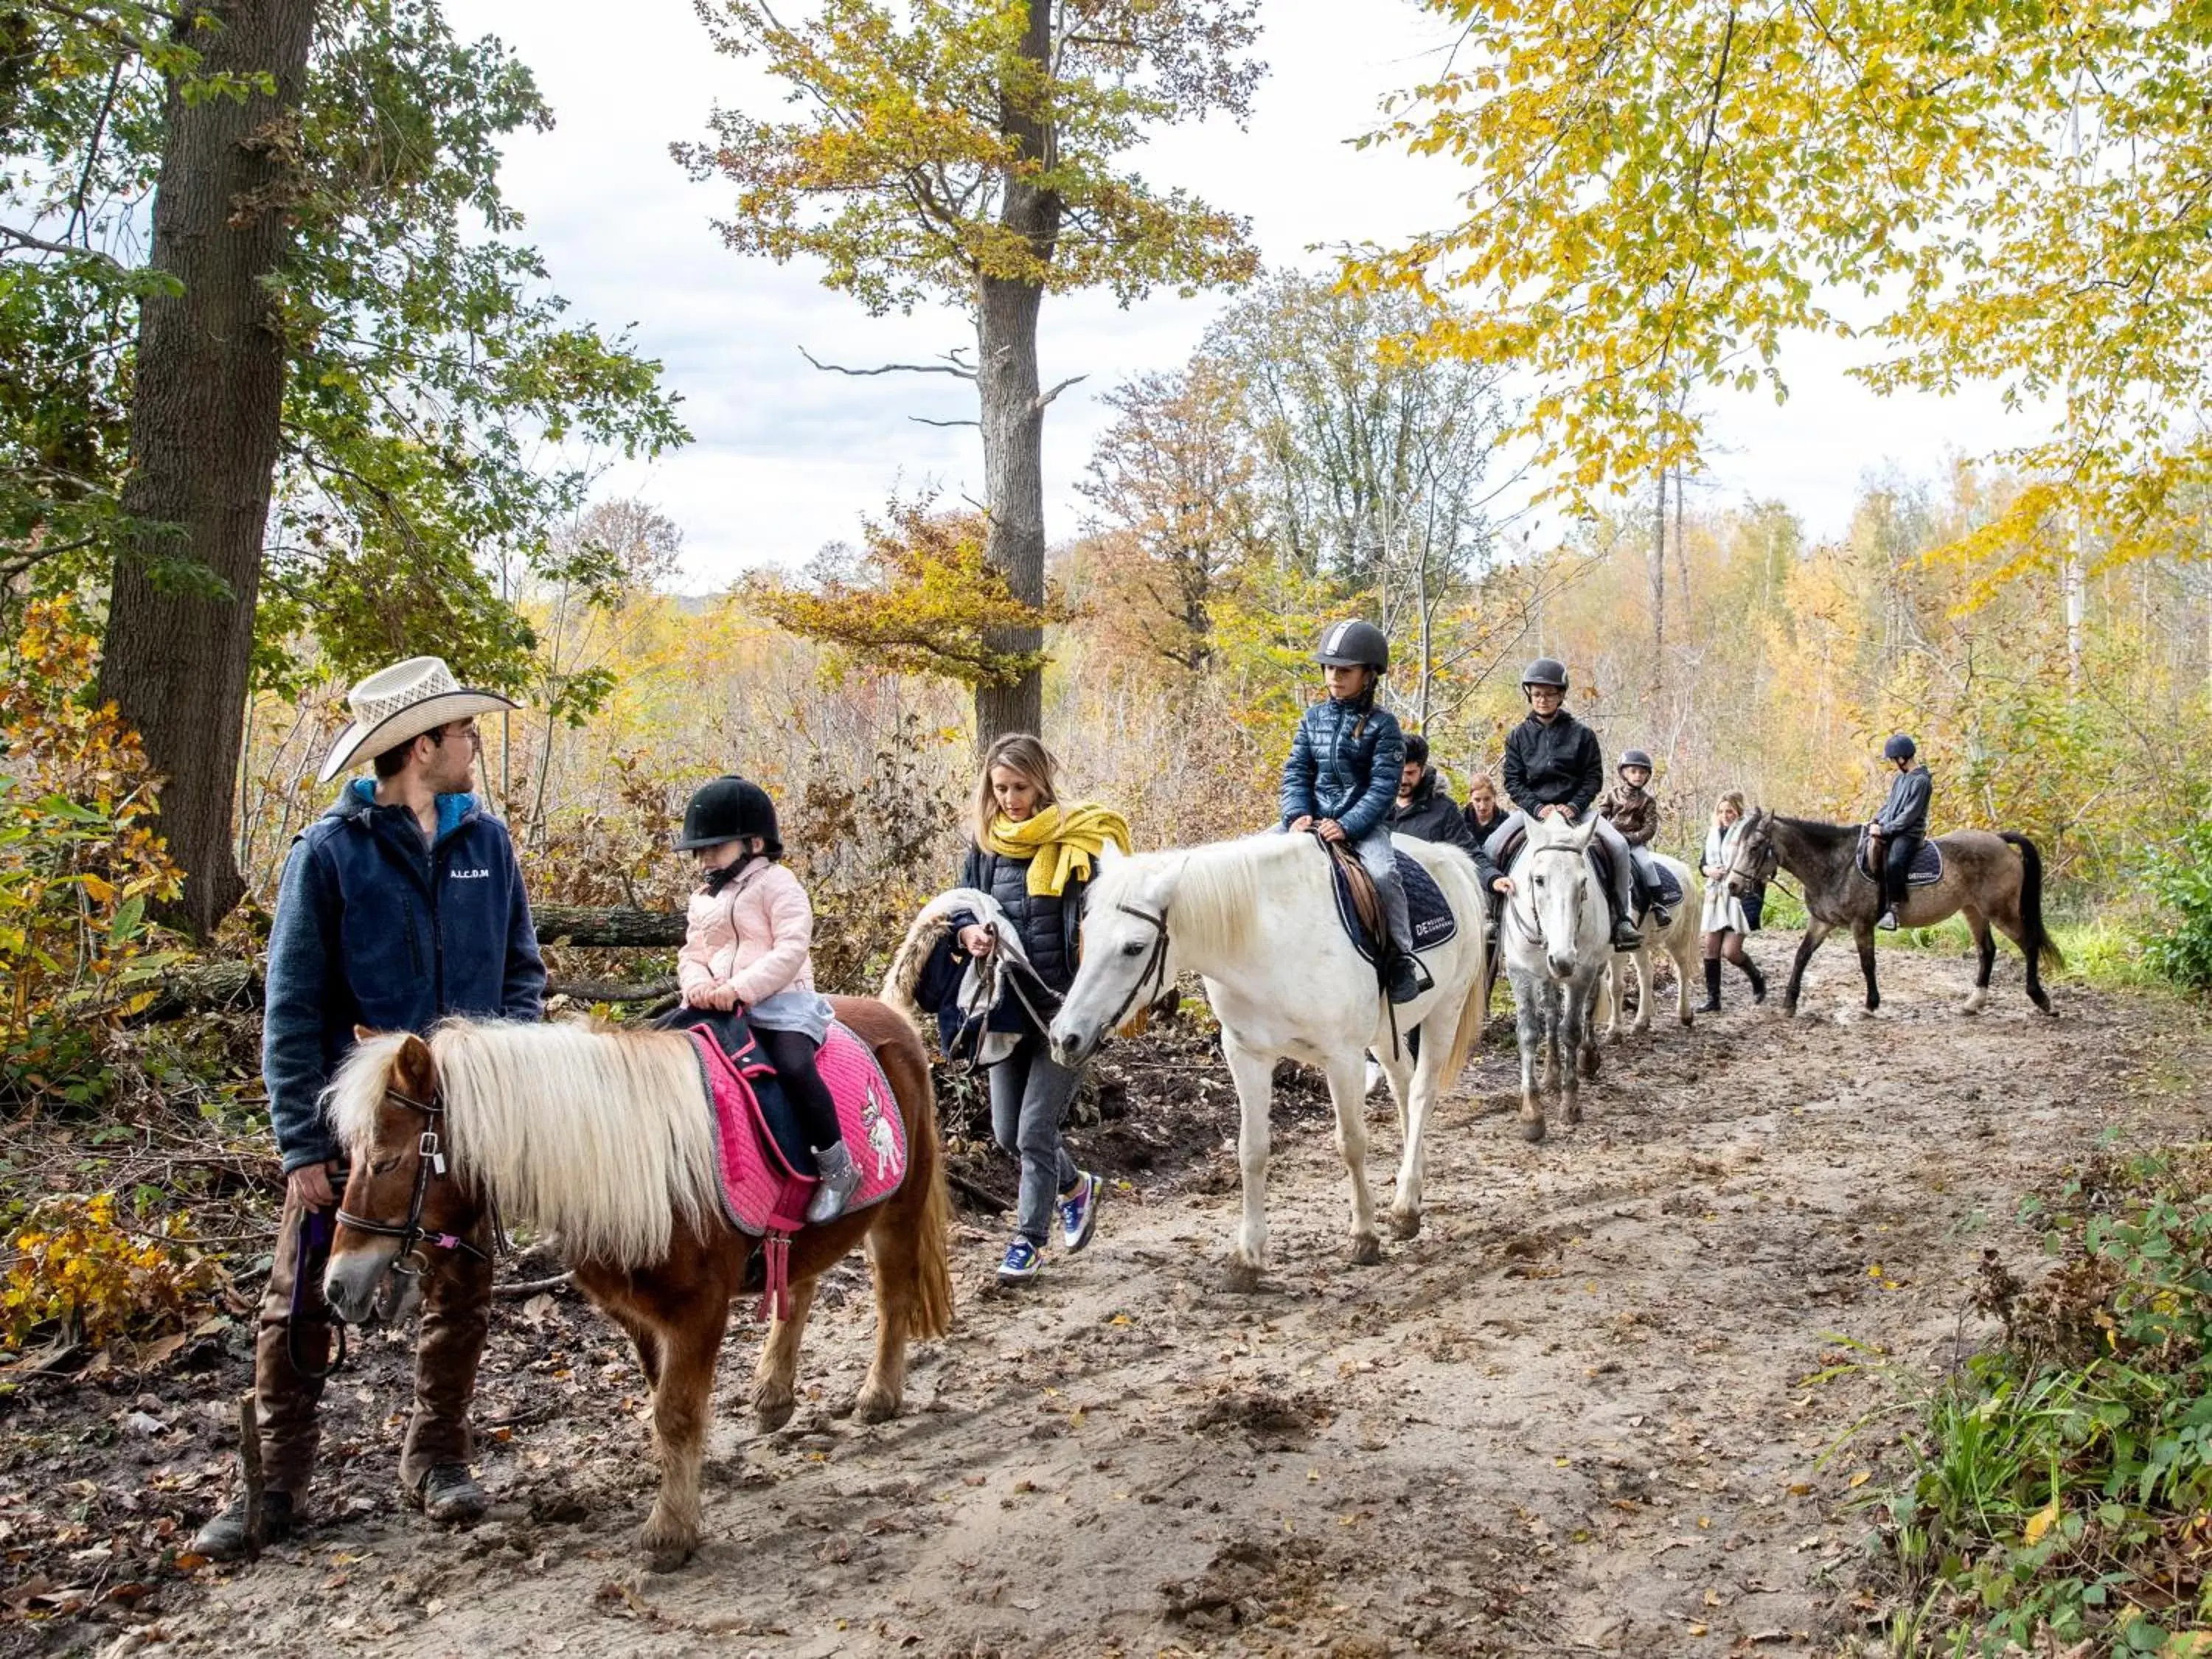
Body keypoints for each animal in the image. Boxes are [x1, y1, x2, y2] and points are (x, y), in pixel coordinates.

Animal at [321, 1000, 951, 1575]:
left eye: (386, 1162)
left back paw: (879, 1395)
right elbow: (662, 1402)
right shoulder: (639, 1314)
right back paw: (774, 1395)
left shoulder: (699, 1311)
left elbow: (676, 1412)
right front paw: (687, 1486)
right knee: (799, 1289)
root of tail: (892, 1016)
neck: (636, 1162)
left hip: (897, 1209)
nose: (337, 1286)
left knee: (891, 1296)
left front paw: (670, 1532)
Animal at [1040, 836, 1486, 1292]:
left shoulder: (1342, 1057)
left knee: (1421, 1094)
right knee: (1402, 1084)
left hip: (1444, 1011)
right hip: (1384, 1035)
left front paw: (1364, 1236)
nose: (1064, 1037)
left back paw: (1405, 1208)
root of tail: (1450, 856)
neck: (1266, 942)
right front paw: (1248, 1259)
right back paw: (1411, 1188)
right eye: (1084, 934)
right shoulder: (1247, 1055)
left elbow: (1351, 1143)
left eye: (1134, 947)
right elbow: (1251, 1151)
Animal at [1495, 814, 1619, 1141]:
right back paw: (1550, 1074)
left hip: (1596, 964)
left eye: (1583, 882)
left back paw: (1587, 1058)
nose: (1562, 960)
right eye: (1539, 880)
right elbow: (1528, 1033)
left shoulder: (1582, 972)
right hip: (1545, 975)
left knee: (1588, 1007)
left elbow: (1571, 1030)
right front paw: (1532, 1115)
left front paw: (1570, 1106)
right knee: (1550, 1014)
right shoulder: (1520, 973)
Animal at [1601, 849, 1699, 1044]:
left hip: (1679, 937)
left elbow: (1615, 987)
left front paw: (1614, 1031)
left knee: (1683, 971)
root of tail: (1684, 869)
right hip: (1641, 945)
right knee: (1646, 974)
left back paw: (1685, 1014)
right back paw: (1642, 1021)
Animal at [1717, 814, 2062, 1022]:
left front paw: (1871, 1005)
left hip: (2001, 911)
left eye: (1756, 846)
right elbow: (1801, 956)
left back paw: (2041, 999)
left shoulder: (1861, 924)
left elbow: (1867, 963)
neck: (1835, 866)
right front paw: (1789, 1003)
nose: (1732, 885)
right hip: (1973, 910)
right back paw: (1974, 1002)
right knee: (1987, 951)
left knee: (2029, 944)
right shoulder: (1821, 922)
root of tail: (2000, 841)